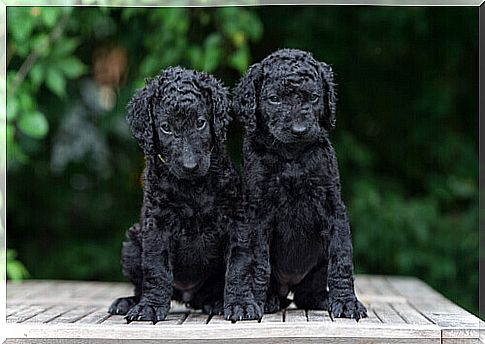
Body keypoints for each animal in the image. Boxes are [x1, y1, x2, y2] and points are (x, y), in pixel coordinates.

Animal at [108, 66, 246, 322]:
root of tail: (188, 295)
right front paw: (150, 307)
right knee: (141, 285)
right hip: (132, 243)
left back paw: (216, 302)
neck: (192, 188)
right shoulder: (157, 223)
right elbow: (156, 268)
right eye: (166, 127)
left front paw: (241, 303)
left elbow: (239, 264)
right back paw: (129, 302)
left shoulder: (235, 220)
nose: (189, 166)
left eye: (201, 123)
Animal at [233, 49, 366, 322]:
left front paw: (347, 302)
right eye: (274, 99)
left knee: (307, 294)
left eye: (314, 97)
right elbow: (258, 263)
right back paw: (270, 299)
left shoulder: (333, 206)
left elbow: (341, 258)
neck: (291, 155)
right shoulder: (257, 212)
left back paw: (323, 299)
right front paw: (253, 302)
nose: (300, 129)